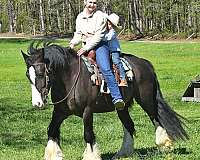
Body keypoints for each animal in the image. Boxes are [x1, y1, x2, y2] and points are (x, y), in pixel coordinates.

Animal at [21, 41, 188, 160]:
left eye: (41, 73)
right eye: (28, 75)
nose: (37, 104)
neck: (70, 77)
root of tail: (145, 63)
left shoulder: (87, 111)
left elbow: (88, 134)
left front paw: (91, 156)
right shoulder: (60, 112)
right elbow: (52, 130)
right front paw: (54, 154)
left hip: (146, 100)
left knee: (156, 118)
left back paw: (164, 144)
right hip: (122, 107)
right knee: (129, 125)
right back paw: (123, 153)